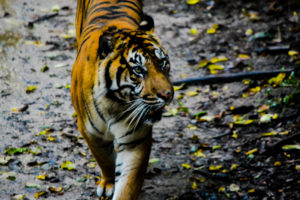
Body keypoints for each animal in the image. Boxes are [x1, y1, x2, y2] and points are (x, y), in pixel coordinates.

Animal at [70, 0, 173, 199]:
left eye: (163, 63)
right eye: (138, 70)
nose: (167, 95)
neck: (114, 103)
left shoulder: (136, 139)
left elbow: (129, 182)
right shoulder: (90, 133)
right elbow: (105, 160)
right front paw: (108, 183)